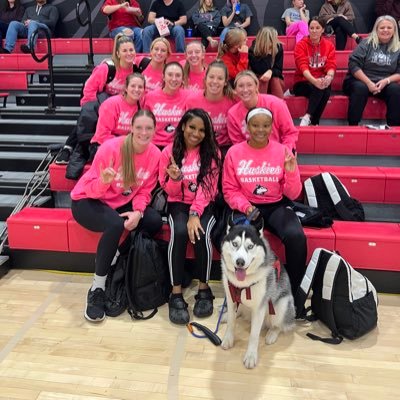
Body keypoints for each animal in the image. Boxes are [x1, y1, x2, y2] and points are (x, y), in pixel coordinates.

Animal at [220, 222, 296, 368]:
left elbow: (254, 335)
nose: (240, 262)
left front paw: (251, 356)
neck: (243, 283)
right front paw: (228, 338)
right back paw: (226, 315)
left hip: (282, 305)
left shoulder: (259, 308)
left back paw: (272, 334)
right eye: (235, 244)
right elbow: (231, 322)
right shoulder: (231, 298)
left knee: (280, 325)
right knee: (239, 311)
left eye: (250, 246)